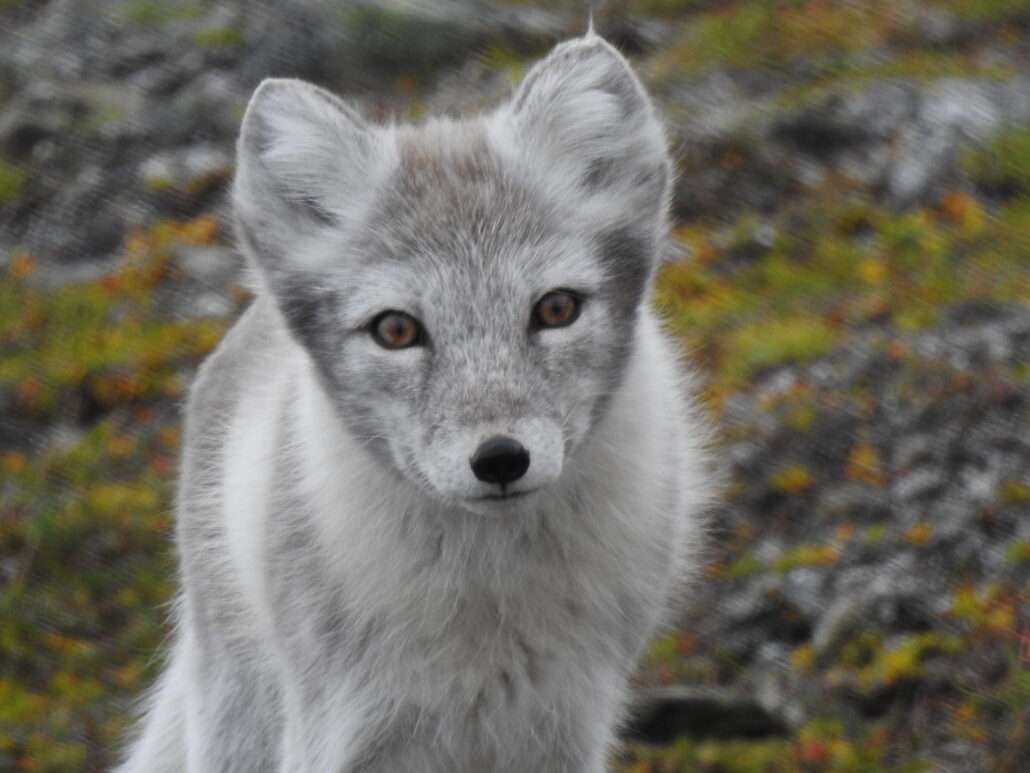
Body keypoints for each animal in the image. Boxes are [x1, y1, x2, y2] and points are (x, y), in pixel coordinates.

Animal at [116, 32, 717, 773]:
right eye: (396, 330)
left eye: (556, 309)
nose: (500, 459)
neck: (490, 598)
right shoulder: (339, 732)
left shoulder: (568, 727)